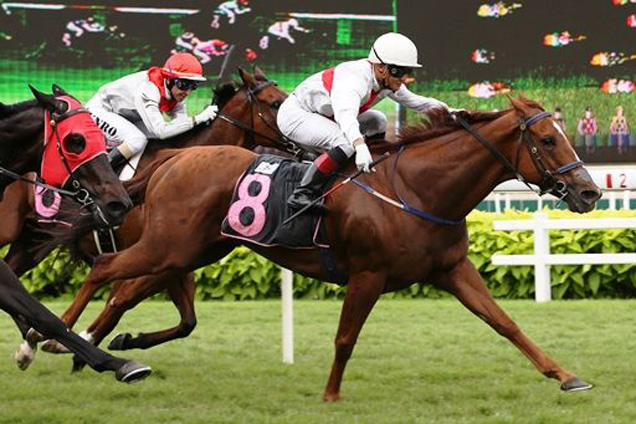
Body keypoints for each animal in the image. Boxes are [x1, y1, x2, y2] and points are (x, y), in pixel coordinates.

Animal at [10, 69, 294, 364]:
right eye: (275, 103)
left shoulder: (173, 259)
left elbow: (185, 320)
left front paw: (112, 341)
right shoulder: (151, 252)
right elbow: (120, 298)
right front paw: (75, 343)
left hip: (31, 242)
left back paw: (29, 345)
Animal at [47, 96, 600, 398]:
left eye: (562, 135)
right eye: (547, 141)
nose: (590, 192)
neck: (418, 189)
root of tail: (172, 161)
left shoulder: (452, 269)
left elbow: (505, 323)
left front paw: (566, 375)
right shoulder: (368, 275)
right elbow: (345, 338)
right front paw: (332, 394)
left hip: (191, 251)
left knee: (132, 291)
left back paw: (105, 344)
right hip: (167, 246)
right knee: (105, 268)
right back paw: (55, 339)